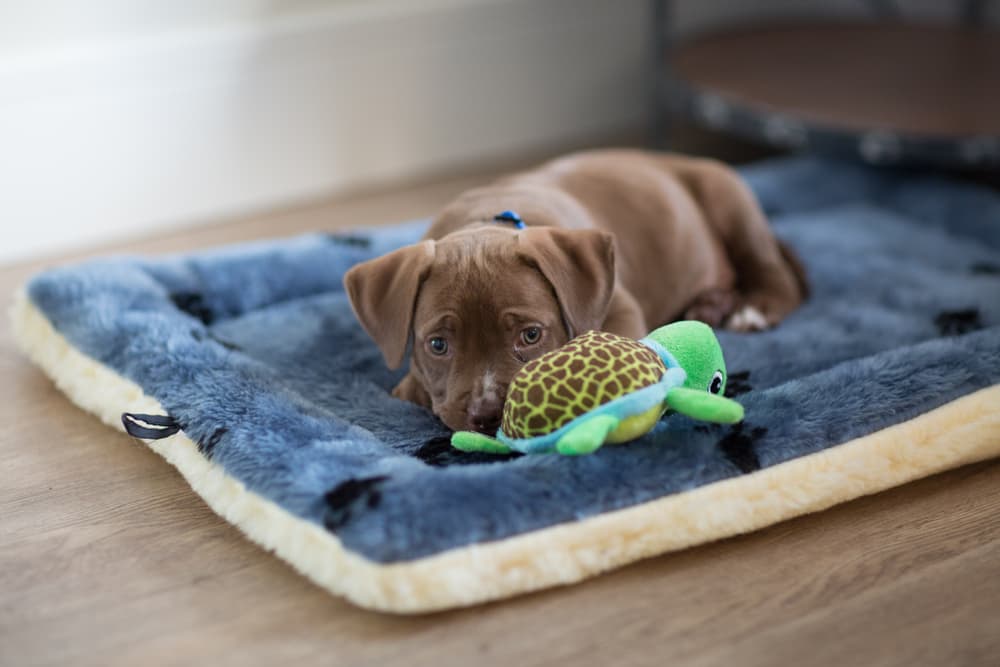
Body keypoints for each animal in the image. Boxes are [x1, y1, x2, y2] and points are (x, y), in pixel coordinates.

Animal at [344, 149, 804, 436]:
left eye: (531, 335)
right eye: (438, 345)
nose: (488, 415)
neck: (486, 223)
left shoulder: (619, 307)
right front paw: (413, 386)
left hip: (729, 198)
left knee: (772, 270)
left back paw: (753, 308)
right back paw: (708, 304)